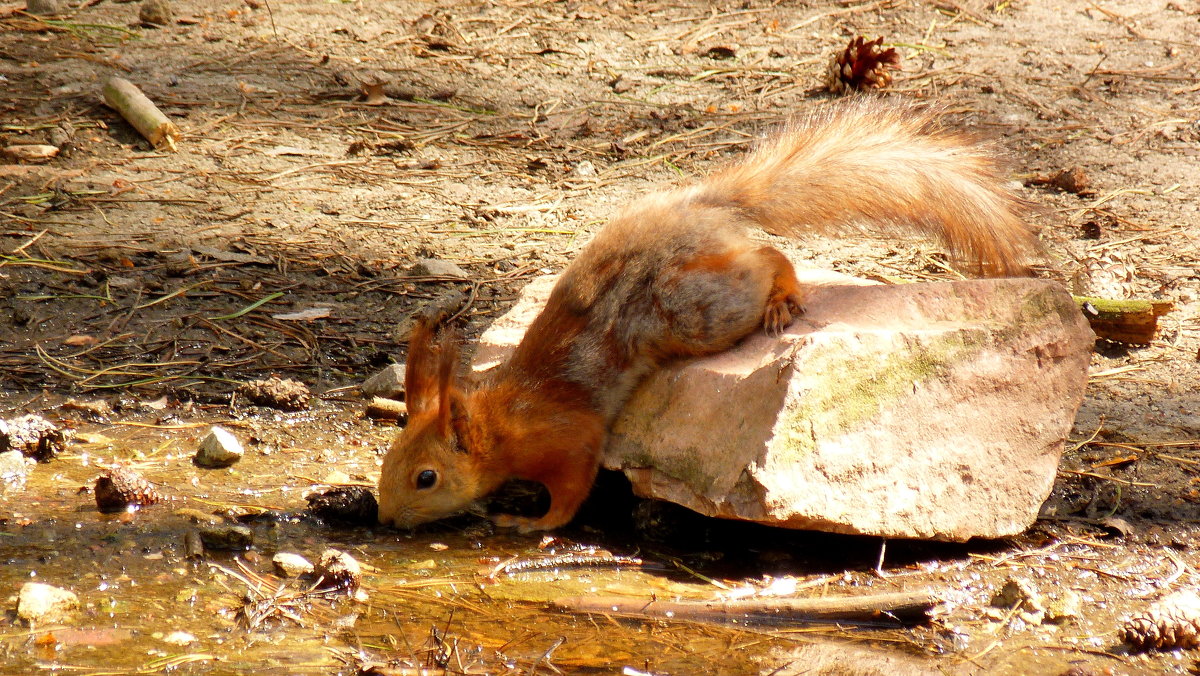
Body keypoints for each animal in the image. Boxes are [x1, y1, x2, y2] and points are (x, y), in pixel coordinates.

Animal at [376, 99, 1041, 535]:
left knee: (767, 257)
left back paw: (782, 298)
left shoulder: (569, 437)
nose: (385, 517)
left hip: (695, 309)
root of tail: (700, 208)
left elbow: (572, 489)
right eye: (388, 460)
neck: (502, 420)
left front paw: (531, 522)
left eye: (426, 478)